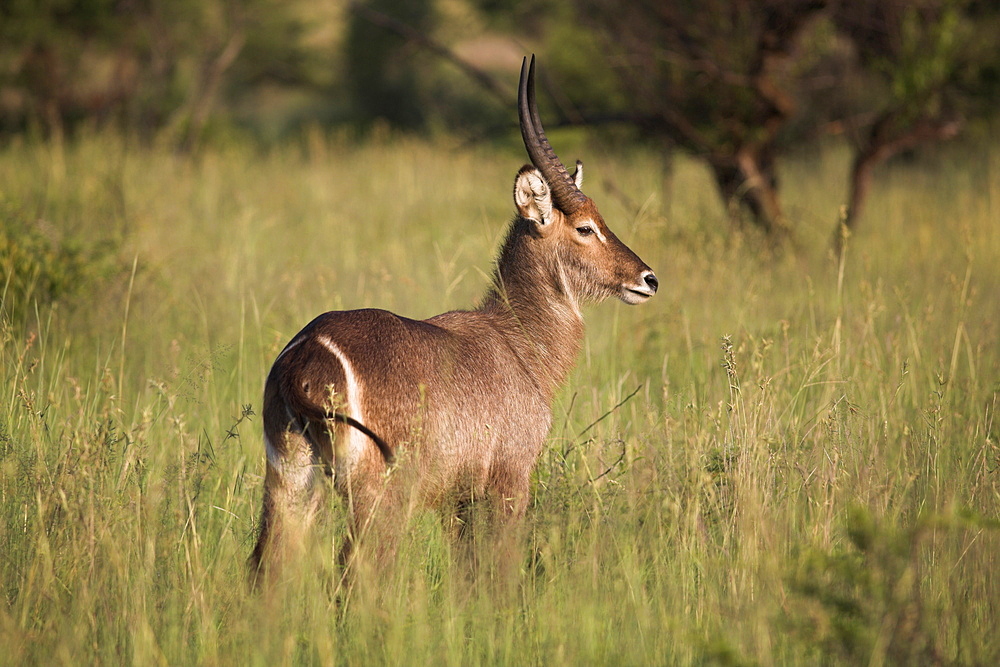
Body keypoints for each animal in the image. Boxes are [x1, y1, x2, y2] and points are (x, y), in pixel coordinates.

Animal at [249, 56, 656, 580]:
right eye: (586, 228)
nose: (648, 278)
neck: (518, 342)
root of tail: (306, 355)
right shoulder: (509, 480)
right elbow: (500, 572)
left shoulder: (457, 501)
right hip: (379, 495)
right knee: (357, 572)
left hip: (290, 481)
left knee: (266, 569)